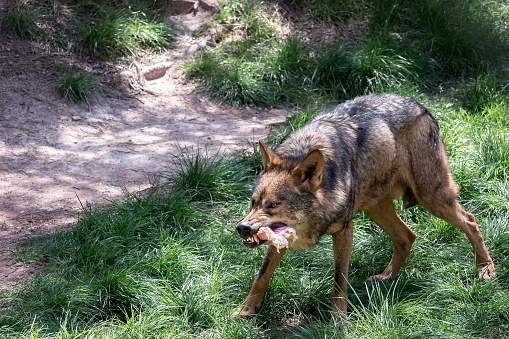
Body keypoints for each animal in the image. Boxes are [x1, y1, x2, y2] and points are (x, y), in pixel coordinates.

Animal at [233, 93, 492, 324]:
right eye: (253, 202)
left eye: (274, 204)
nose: (242, 227)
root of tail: (420, 106)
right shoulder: (280, 237)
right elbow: (262, 275)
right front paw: (246, 310)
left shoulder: (344, 230)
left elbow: (339, 281)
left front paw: (338, 321)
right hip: (377, 208)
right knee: (407, 236)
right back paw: (385, 278)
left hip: (432, 198)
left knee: (470, 220)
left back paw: (485, 269)